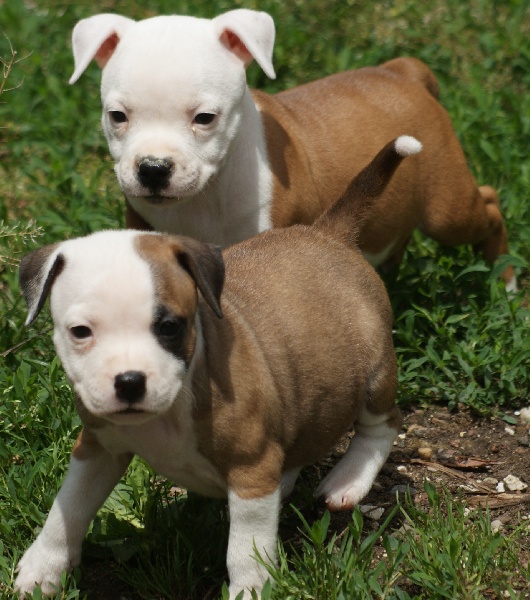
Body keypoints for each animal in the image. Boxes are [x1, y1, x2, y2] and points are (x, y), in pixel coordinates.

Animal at [14, 136, 419, 599]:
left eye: (169, 327)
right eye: (80, 331)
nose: (130, 382)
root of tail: (327, 233)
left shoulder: (250, 465)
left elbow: (245, 549)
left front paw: (251, 589)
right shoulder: (98, 447)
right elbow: (67, 508)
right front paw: (41, 568)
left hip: (374, 371)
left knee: (382, 424)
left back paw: (348, 480)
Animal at [69, 8, 515, 290]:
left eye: (205, 118)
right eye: (117, 116)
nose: (153, 168)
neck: (207, 198)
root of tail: (403, 72)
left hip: (447, 206)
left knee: (489, 204)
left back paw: (505, 283)